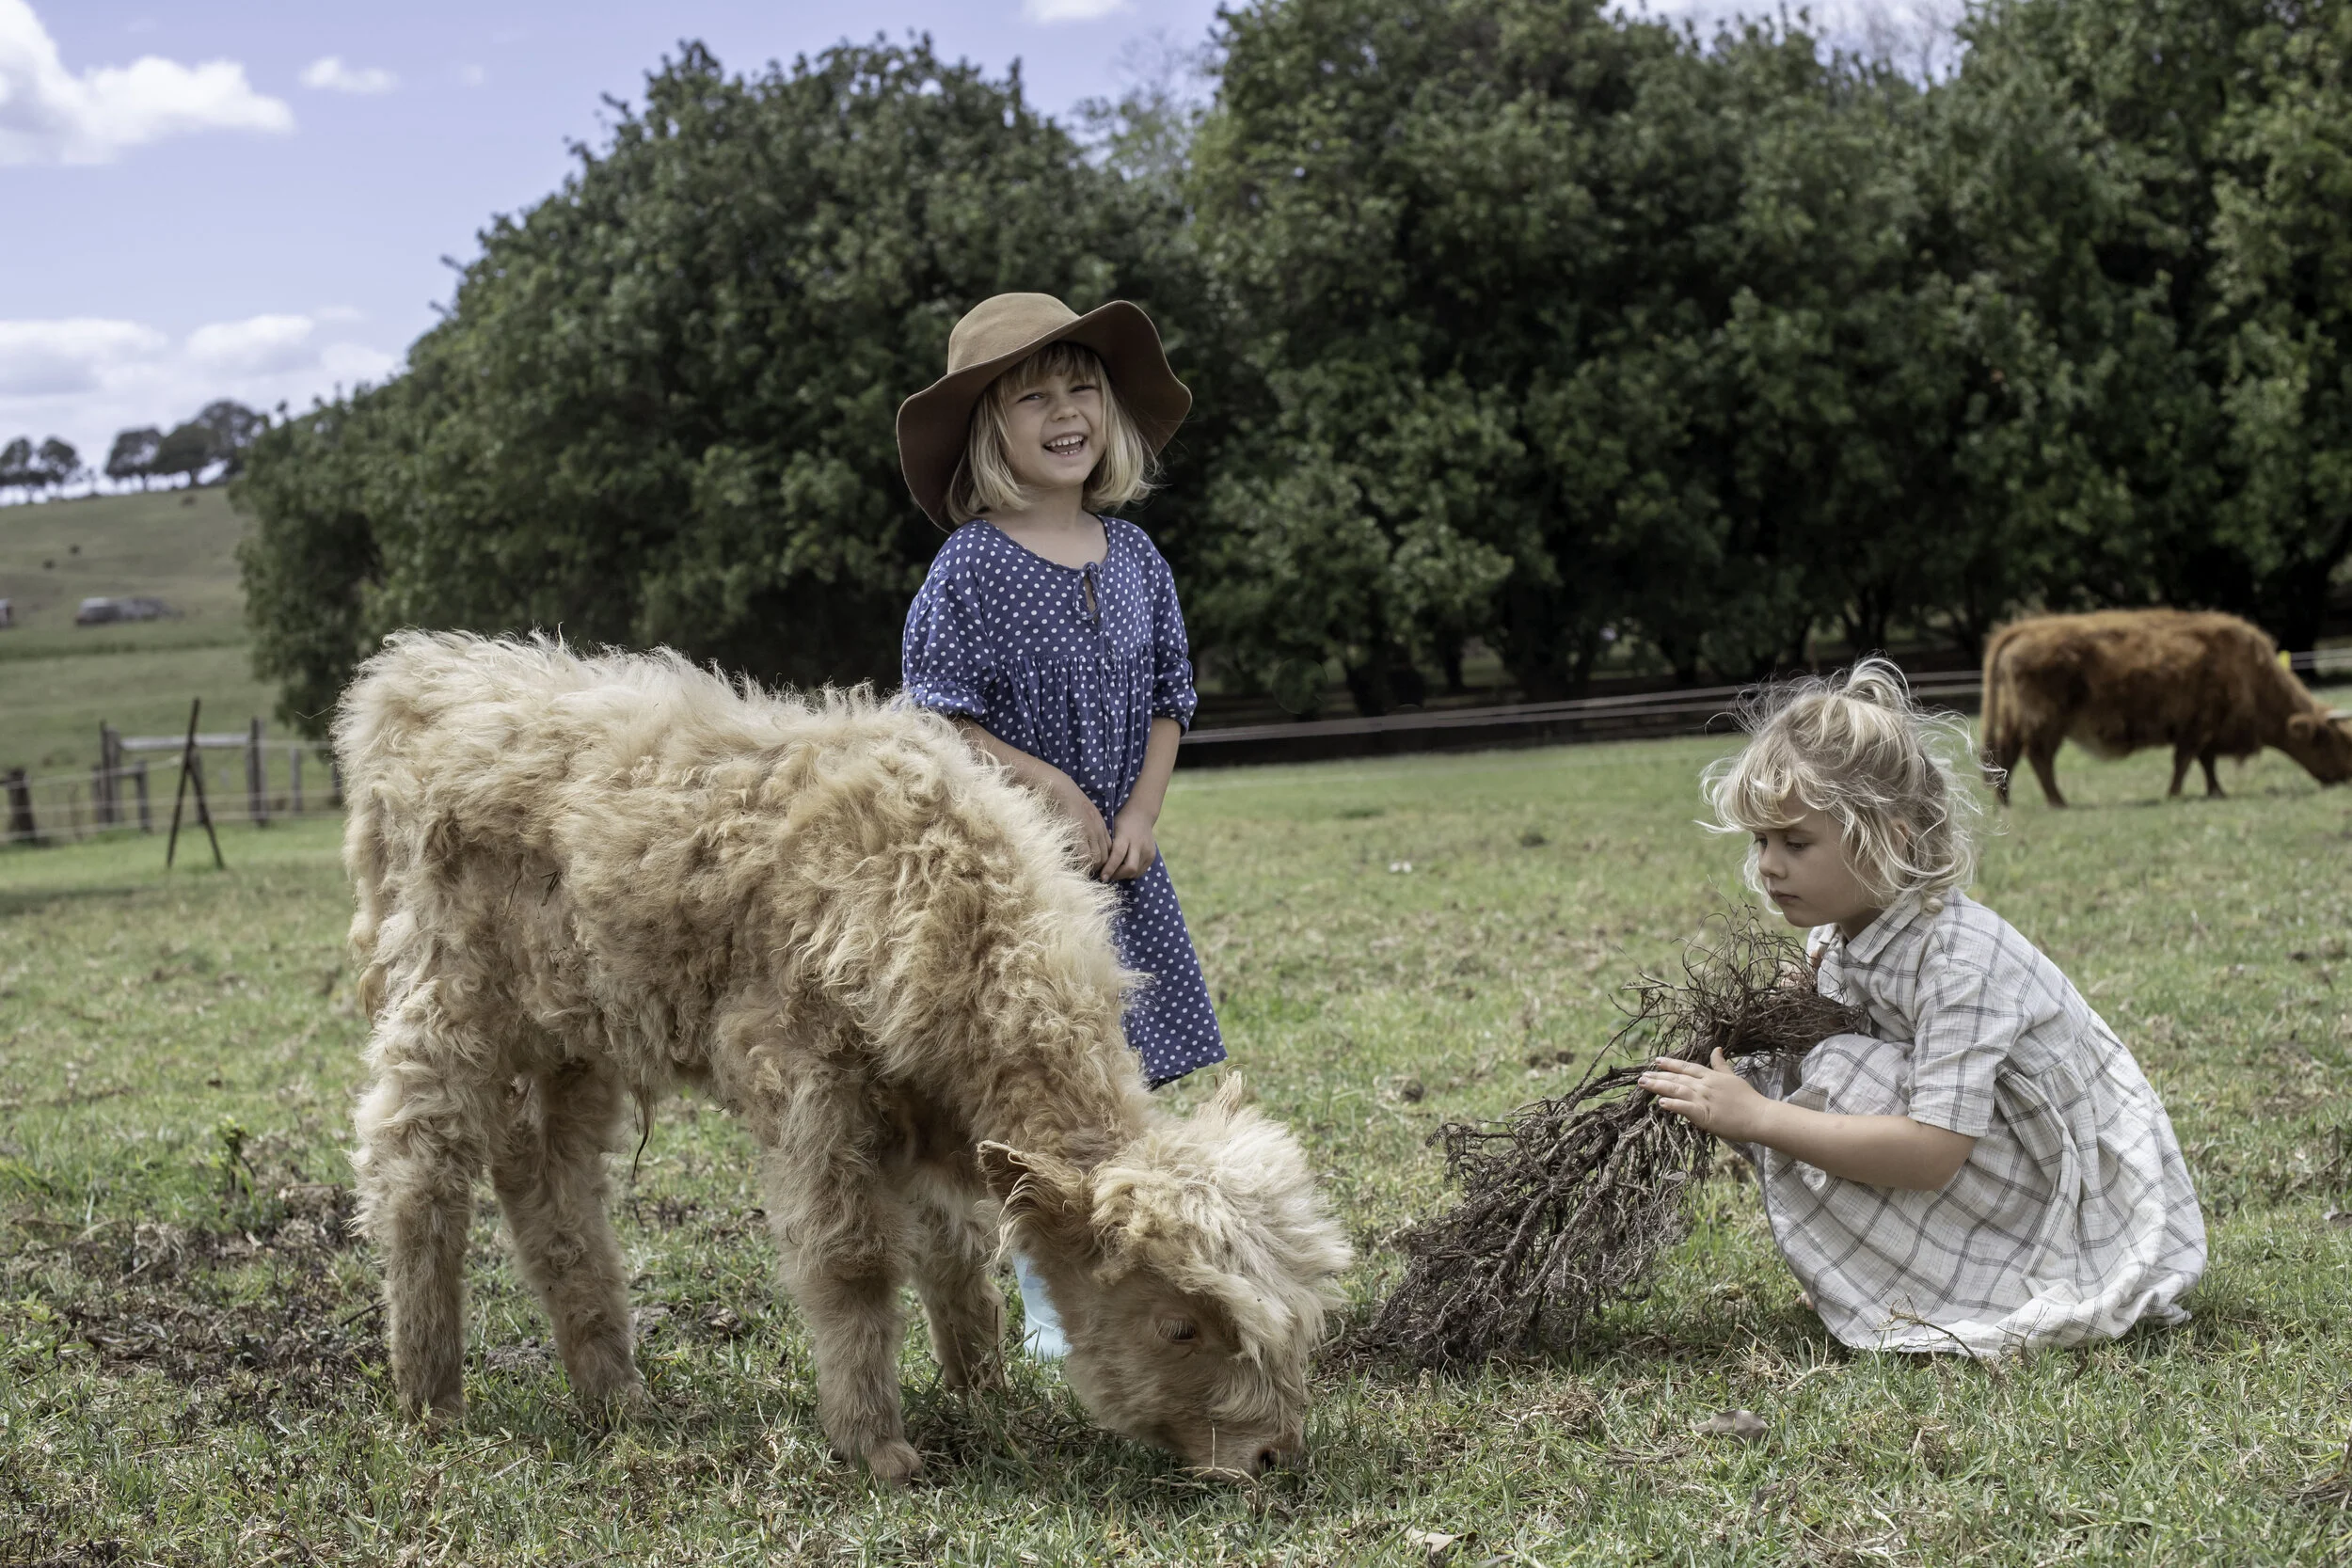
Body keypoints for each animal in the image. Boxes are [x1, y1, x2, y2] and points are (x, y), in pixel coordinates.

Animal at [1979, 609, 2352, 807]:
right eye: (2339, 741)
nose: (2347, 777)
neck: (2248, 669)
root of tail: (2024, 628)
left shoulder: (2205, 731)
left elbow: (2205, 762)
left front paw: (2216, 791)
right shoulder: (2197, 727)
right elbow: (2185, 761)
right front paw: (2175, 794)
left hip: (2017, 721)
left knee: (2006, 755)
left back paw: (2005, 804)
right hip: (2046, 724)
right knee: (2038, 758)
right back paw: (2058, 802)